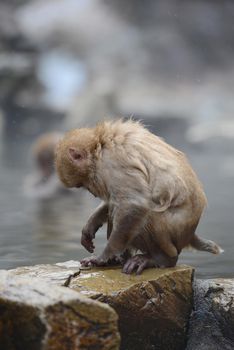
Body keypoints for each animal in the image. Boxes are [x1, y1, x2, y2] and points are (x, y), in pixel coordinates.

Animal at [54, 119, 223, 274]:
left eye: (82, 184)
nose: (92, 192)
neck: (99, 145)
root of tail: (190, 234)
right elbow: (112, 200)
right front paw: (90, 226)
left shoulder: (113, 163)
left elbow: (134, 203)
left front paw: (103, 257)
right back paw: (121, 258)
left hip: (173, 235)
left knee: (149, 213)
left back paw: (161, 260)